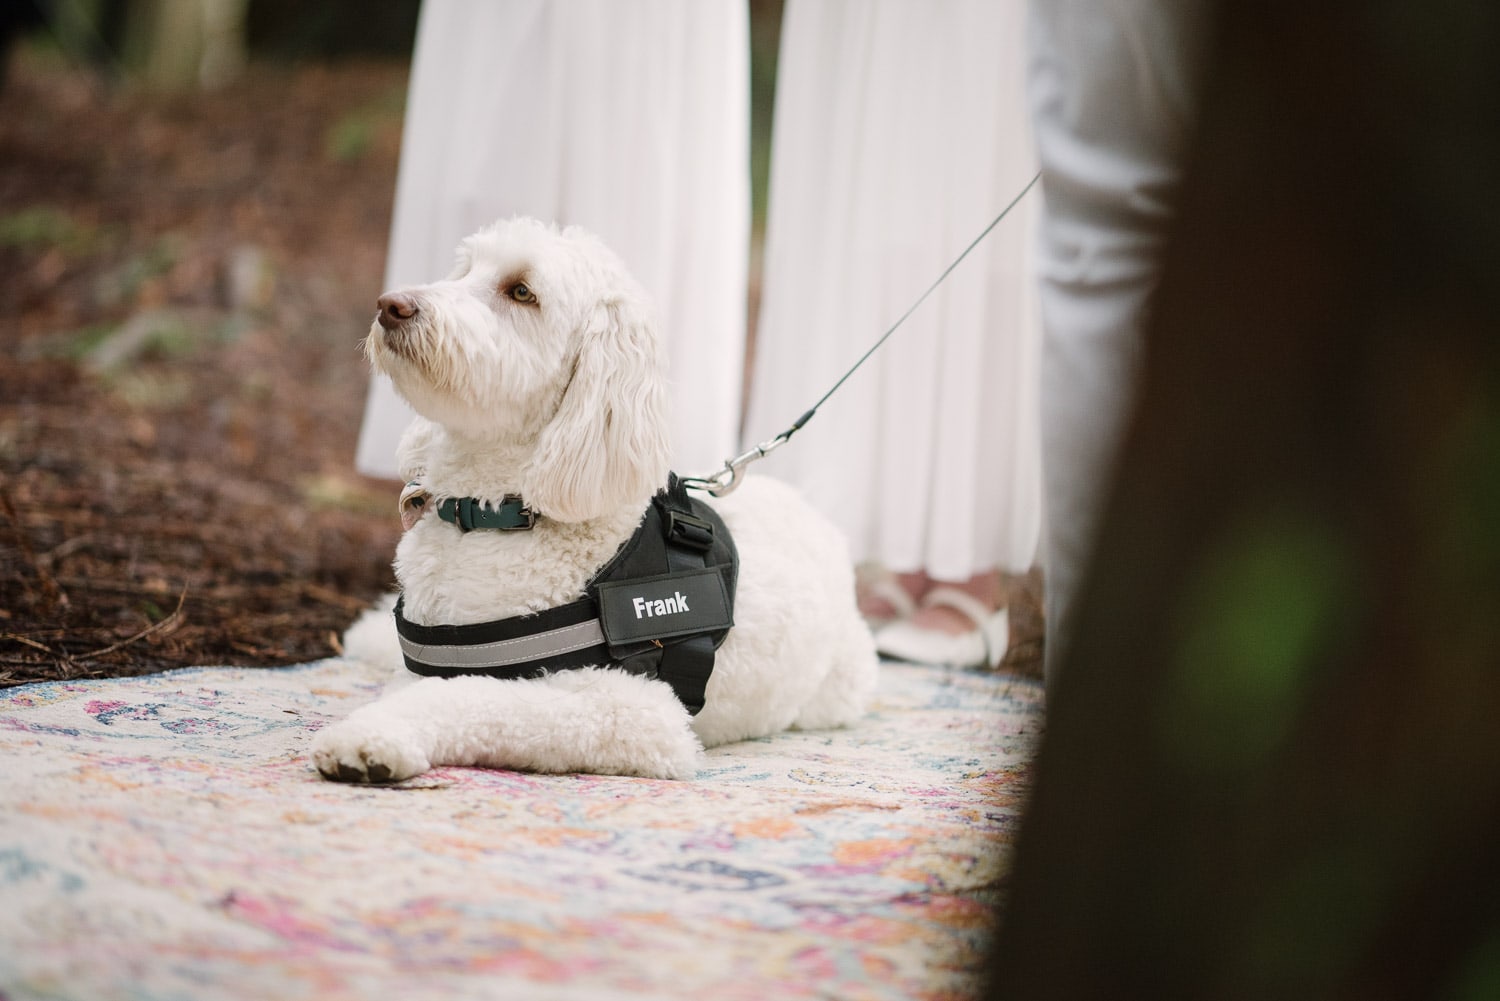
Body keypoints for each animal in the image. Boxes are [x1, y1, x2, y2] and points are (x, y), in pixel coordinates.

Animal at [313, 217, 876, 780]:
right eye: (466, 270)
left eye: (522, 292)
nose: (391, 304)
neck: (497, 514)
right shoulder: (424, 665)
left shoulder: (633, 710)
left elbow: (472, 698)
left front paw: (373, 738)